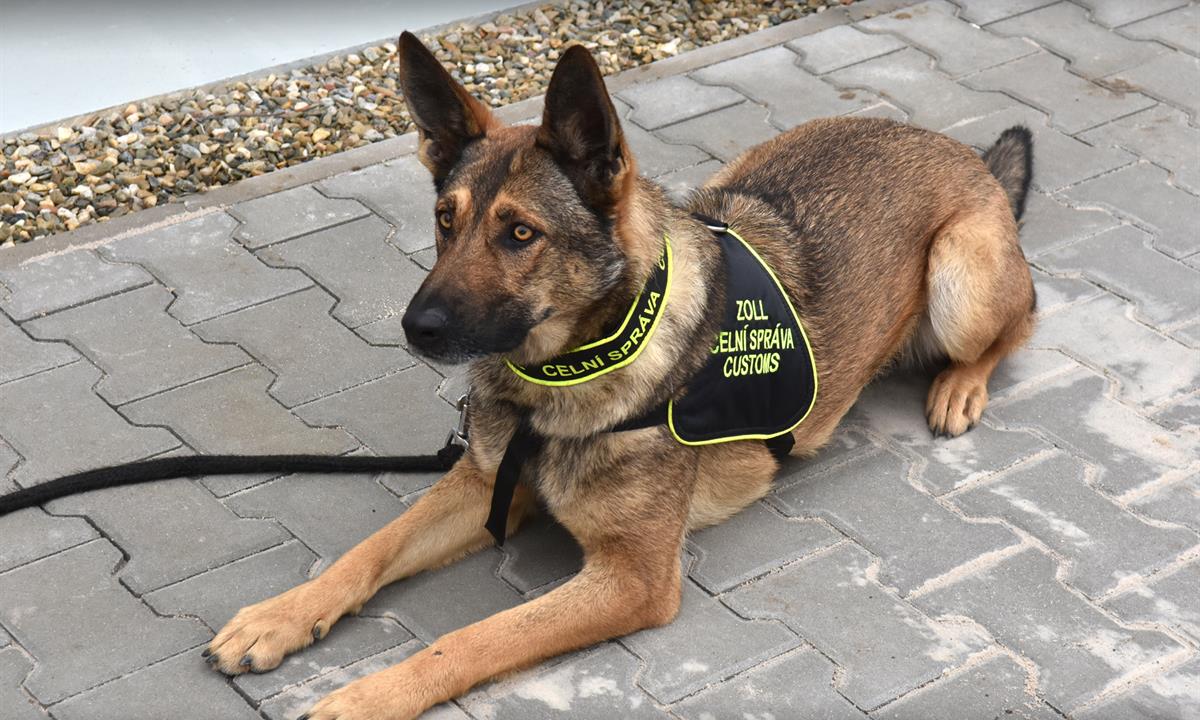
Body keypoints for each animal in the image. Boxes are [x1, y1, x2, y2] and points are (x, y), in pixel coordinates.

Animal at [201, 32, 1036, 719]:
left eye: (520, 234)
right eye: (445, 219)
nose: (416, 328)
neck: (564, 378)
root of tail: (956, 149)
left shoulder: (631, 578)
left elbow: (473, 637)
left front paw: (370, 697)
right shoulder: (484, 483)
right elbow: (368, 552)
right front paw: (281, 615)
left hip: (960, 276)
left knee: (1023, 318)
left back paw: (960, 386)